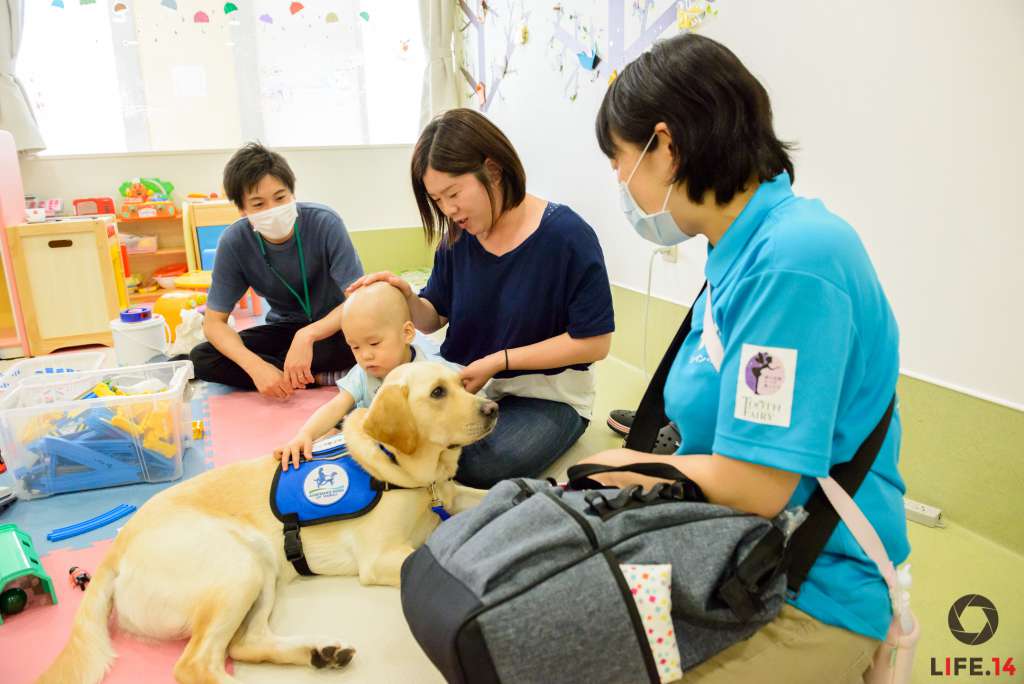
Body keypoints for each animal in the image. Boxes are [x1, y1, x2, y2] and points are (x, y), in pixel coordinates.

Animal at [41, 362, 497, 684]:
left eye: (462, 383)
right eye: (437, 393)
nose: (493, 408)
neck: (398, 466)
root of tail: (114, 550)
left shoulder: (453, 496)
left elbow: (490, 492)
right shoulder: (382, 556)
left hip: (262, 569)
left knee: (245, 645)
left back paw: (320, 653)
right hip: (236, 564)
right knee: (196, 665)